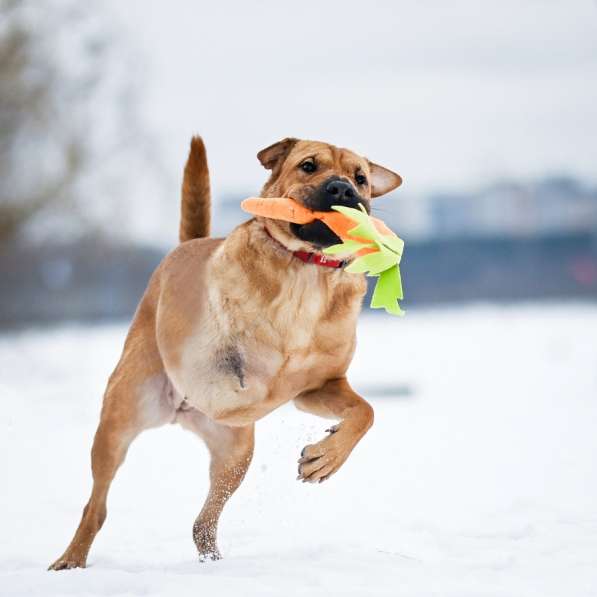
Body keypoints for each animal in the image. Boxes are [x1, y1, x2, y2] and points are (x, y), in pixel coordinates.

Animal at [47, 135, 400, 568]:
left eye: (360, 177)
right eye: (309, 166)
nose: (342, 190)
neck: (307, 272)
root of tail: (179, 413)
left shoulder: (321, 386)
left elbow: (364, 412)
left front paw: (324, 458)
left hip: (235, 455)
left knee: (202, 523)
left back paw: (212, 558)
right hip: (120, 419)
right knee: (96, 506)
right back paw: (71, 559)